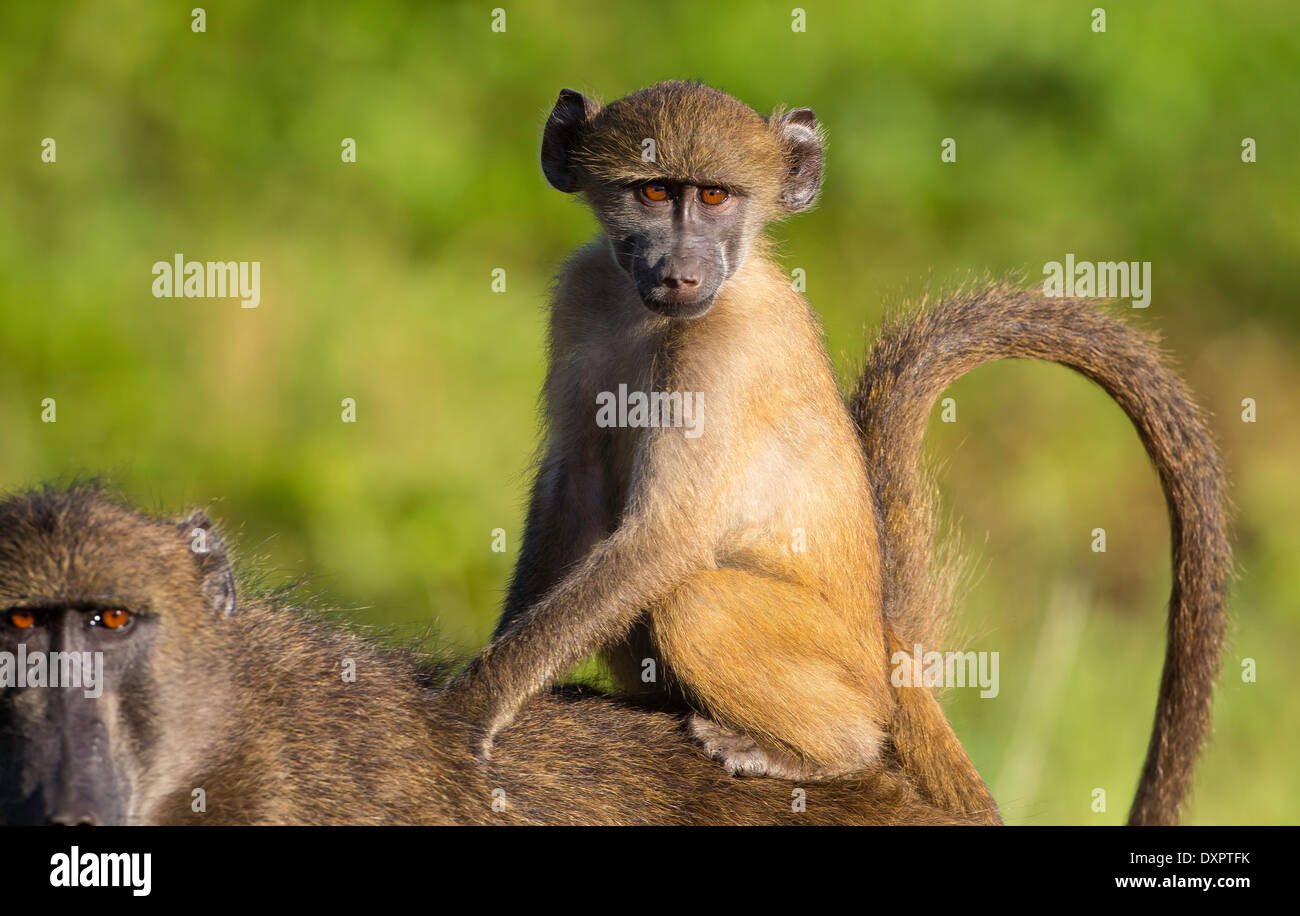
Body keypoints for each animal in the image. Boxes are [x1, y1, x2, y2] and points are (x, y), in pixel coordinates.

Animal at [444, 81, 1230, 826]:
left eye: (716, 196)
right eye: (655, 192)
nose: (680, 272)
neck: (653, 312)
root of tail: (886, 647)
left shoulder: (724, 353)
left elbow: (666, 537)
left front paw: (472, 707)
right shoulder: (580, 295)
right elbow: (573, 484)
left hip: (842, 671)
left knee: (696, 601)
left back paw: (818, 754)